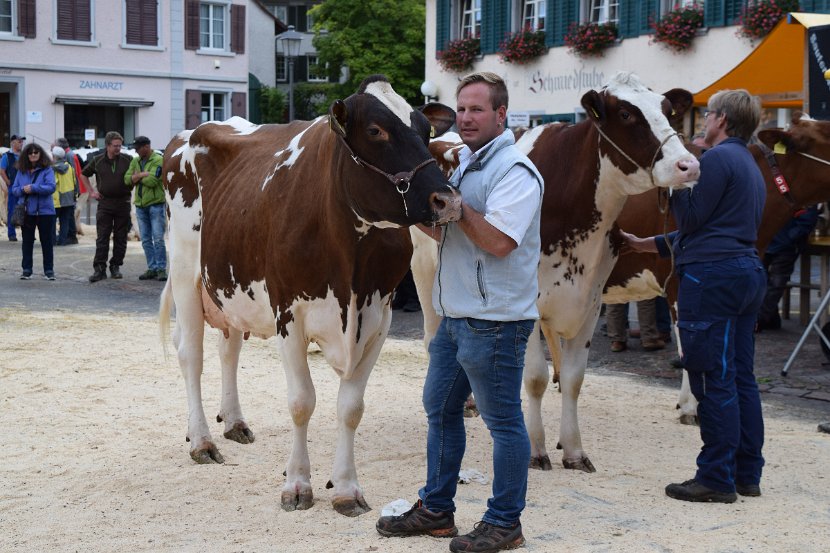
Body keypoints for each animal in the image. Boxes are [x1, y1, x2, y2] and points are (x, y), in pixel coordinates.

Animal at [159, 75, 464, 516]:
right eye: (376, 131)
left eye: (426, 131)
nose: (448, 200)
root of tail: (188, 134)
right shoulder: (289, 314)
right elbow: (302, 401)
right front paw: (297, 484)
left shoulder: (378, 318)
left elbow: (351, 408)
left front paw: (346, 489)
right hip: (185, 271)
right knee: (191, 355)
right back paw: (201, 441)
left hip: (229, 287)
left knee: (228, 349)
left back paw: (234, 422)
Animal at [416, 70, 704, 470]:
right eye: (626, 114)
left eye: (666, 109)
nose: (688, 165)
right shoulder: (529, 306)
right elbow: (535, 378)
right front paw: (536, 448)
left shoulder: (591, 300)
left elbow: (573, 378)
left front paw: (573, 449)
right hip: (424, 272)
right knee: (433, 339)